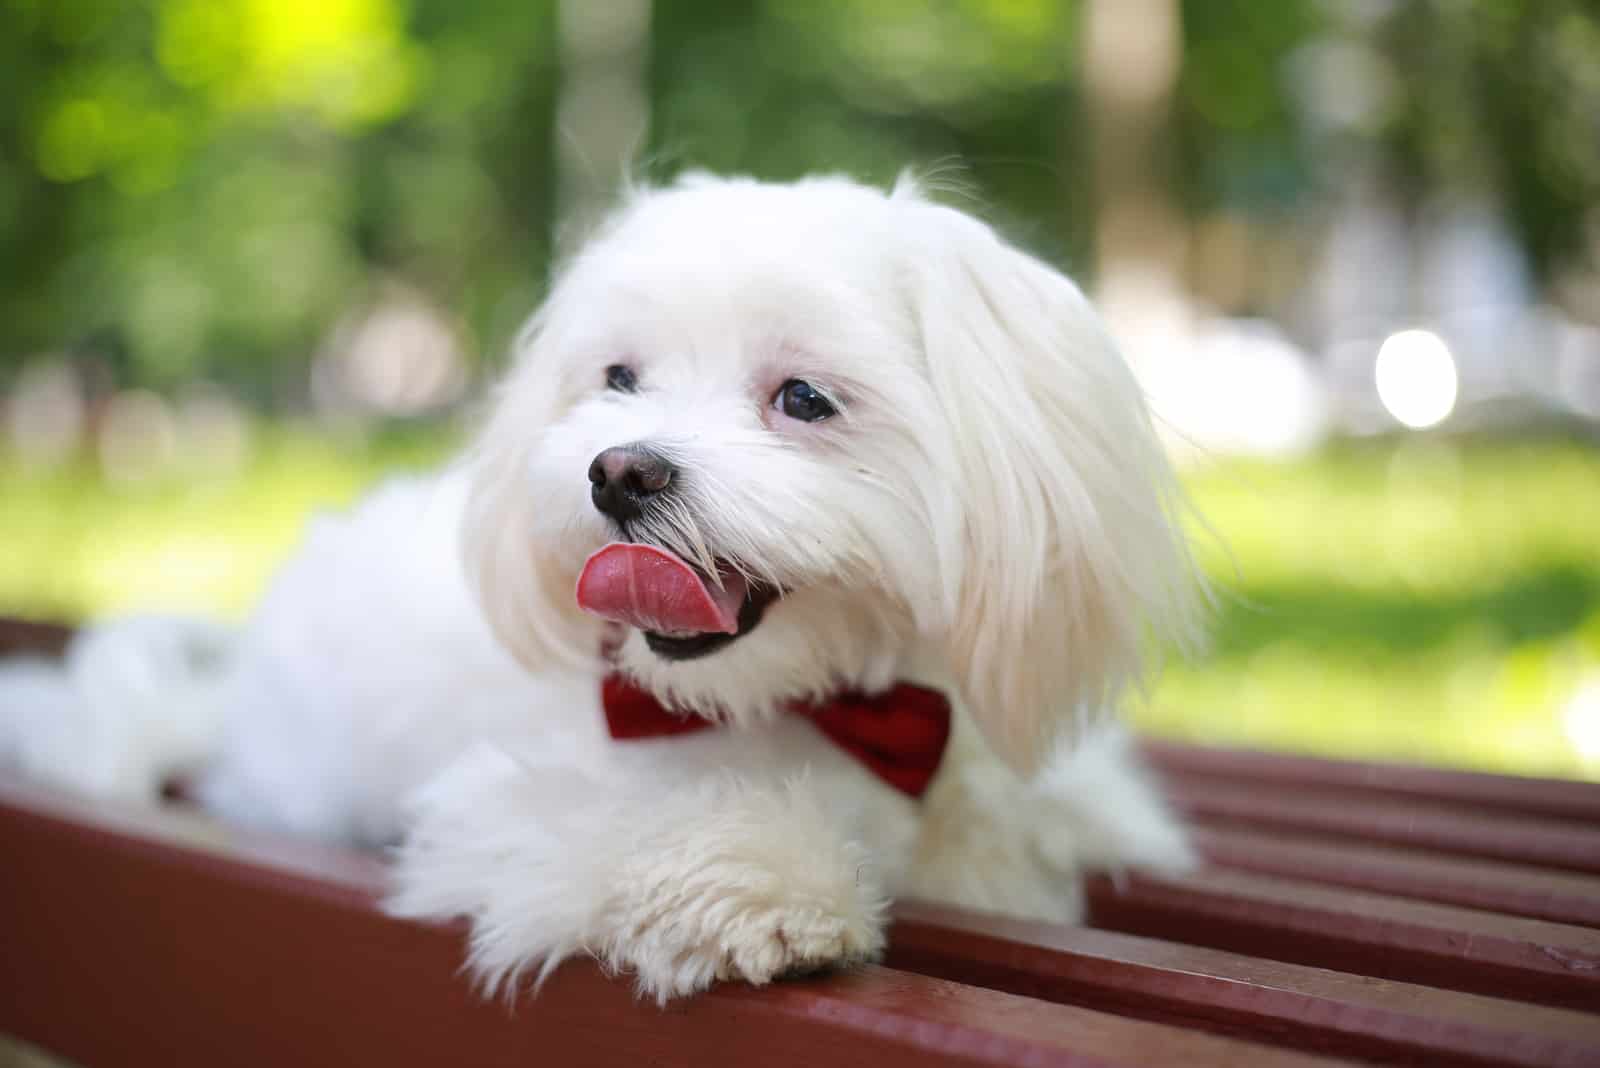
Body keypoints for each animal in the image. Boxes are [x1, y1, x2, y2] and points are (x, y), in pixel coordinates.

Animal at [0, 173, 1203, 1004]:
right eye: (619, 378)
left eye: (804, 398)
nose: (620, 470)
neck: (821, 708)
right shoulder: (517, 807)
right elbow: (645, 838)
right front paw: (779, 892)